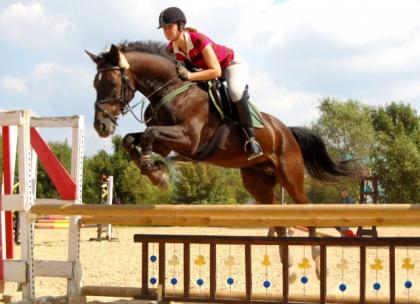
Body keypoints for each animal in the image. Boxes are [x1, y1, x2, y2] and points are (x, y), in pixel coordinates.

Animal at [87, 41, 356, 280]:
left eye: (113, 83)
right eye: (94, 84)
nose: (101, 126)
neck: (171, 90)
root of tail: (285, 131)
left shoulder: (188, 138)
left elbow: (149, 135)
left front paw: (156, 172)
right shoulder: (166, 143)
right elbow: (131, 139)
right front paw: (155, 171)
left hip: (290, 176)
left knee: (307, 213)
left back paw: (319, 266)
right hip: (257, 183)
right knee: (278, 221)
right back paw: (288, 270)